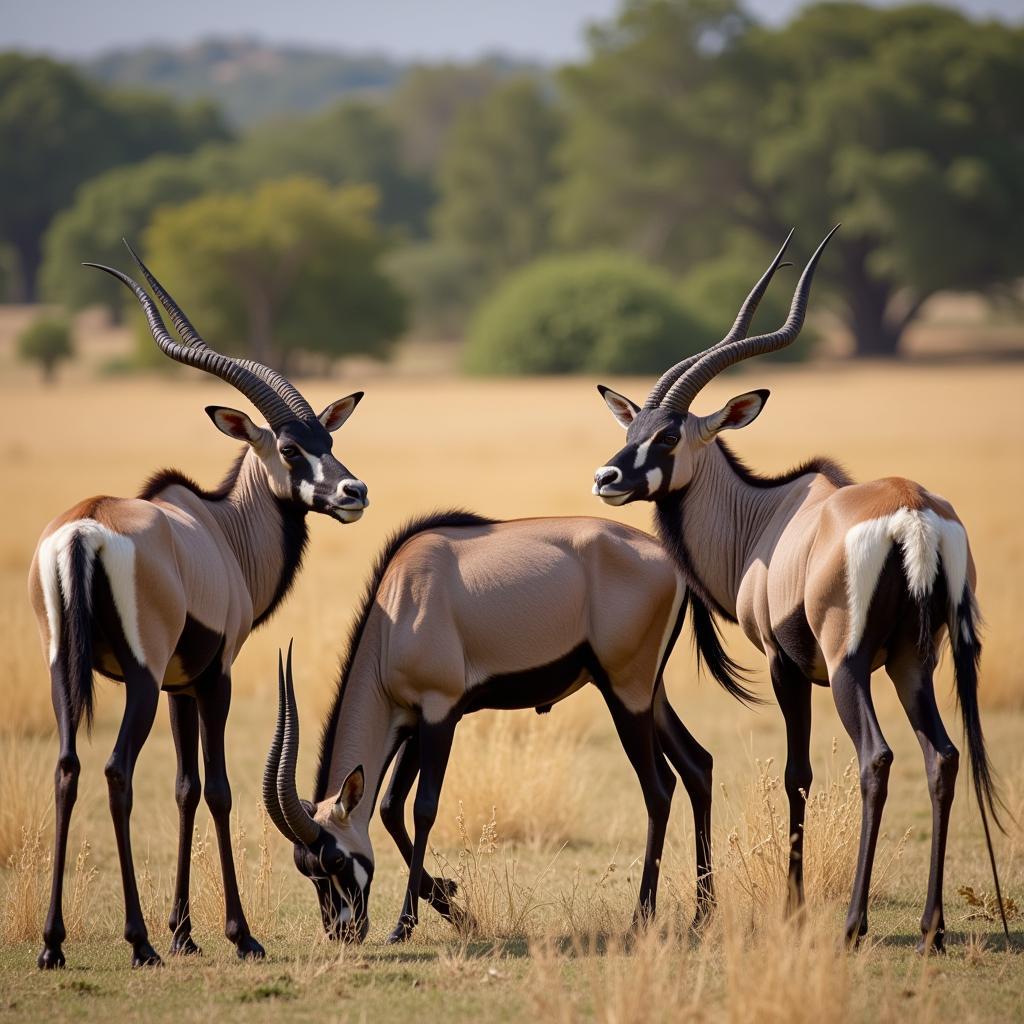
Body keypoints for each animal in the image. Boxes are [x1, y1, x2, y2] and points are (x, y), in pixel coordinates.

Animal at [29, 247, 370, 966]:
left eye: (326, 440)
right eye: (291, 448)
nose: (354, 492)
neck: (223, 529)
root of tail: (83, 531)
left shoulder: (179, 687)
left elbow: (184, 789)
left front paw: (184, 932)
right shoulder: (215, 678)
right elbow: (216, 789)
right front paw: (240, 935)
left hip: (64, 671)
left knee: (68, 767)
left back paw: (53, 944)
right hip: (137, 680)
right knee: (116, 771)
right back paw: (137, 943)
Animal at [266, 509, 761, 942]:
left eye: (333, 860)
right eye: (306, 868)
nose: (342, 932)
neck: (397, 609)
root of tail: (670, 563)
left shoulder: (440, 711)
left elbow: (422, 808)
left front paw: (405, 925)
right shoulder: (412, 720)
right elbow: (389, 807)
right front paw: (453, 906)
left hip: (626, 692)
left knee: (658, 789)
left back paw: (642, 918)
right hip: (647, 695)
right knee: (697, 766)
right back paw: (701, 913)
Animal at [593, 226, 1007, 950]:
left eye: (668, 436)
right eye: (632, 429)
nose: (607, 477)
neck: (764, 517)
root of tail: (913, 513)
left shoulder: (785, 665)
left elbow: (798, 775)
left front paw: (793, 906)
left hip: (850, 668)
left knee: (877, 759)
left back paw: (853, 924)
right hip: (914, 663)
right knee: (944, 756)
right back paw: (931, 927)